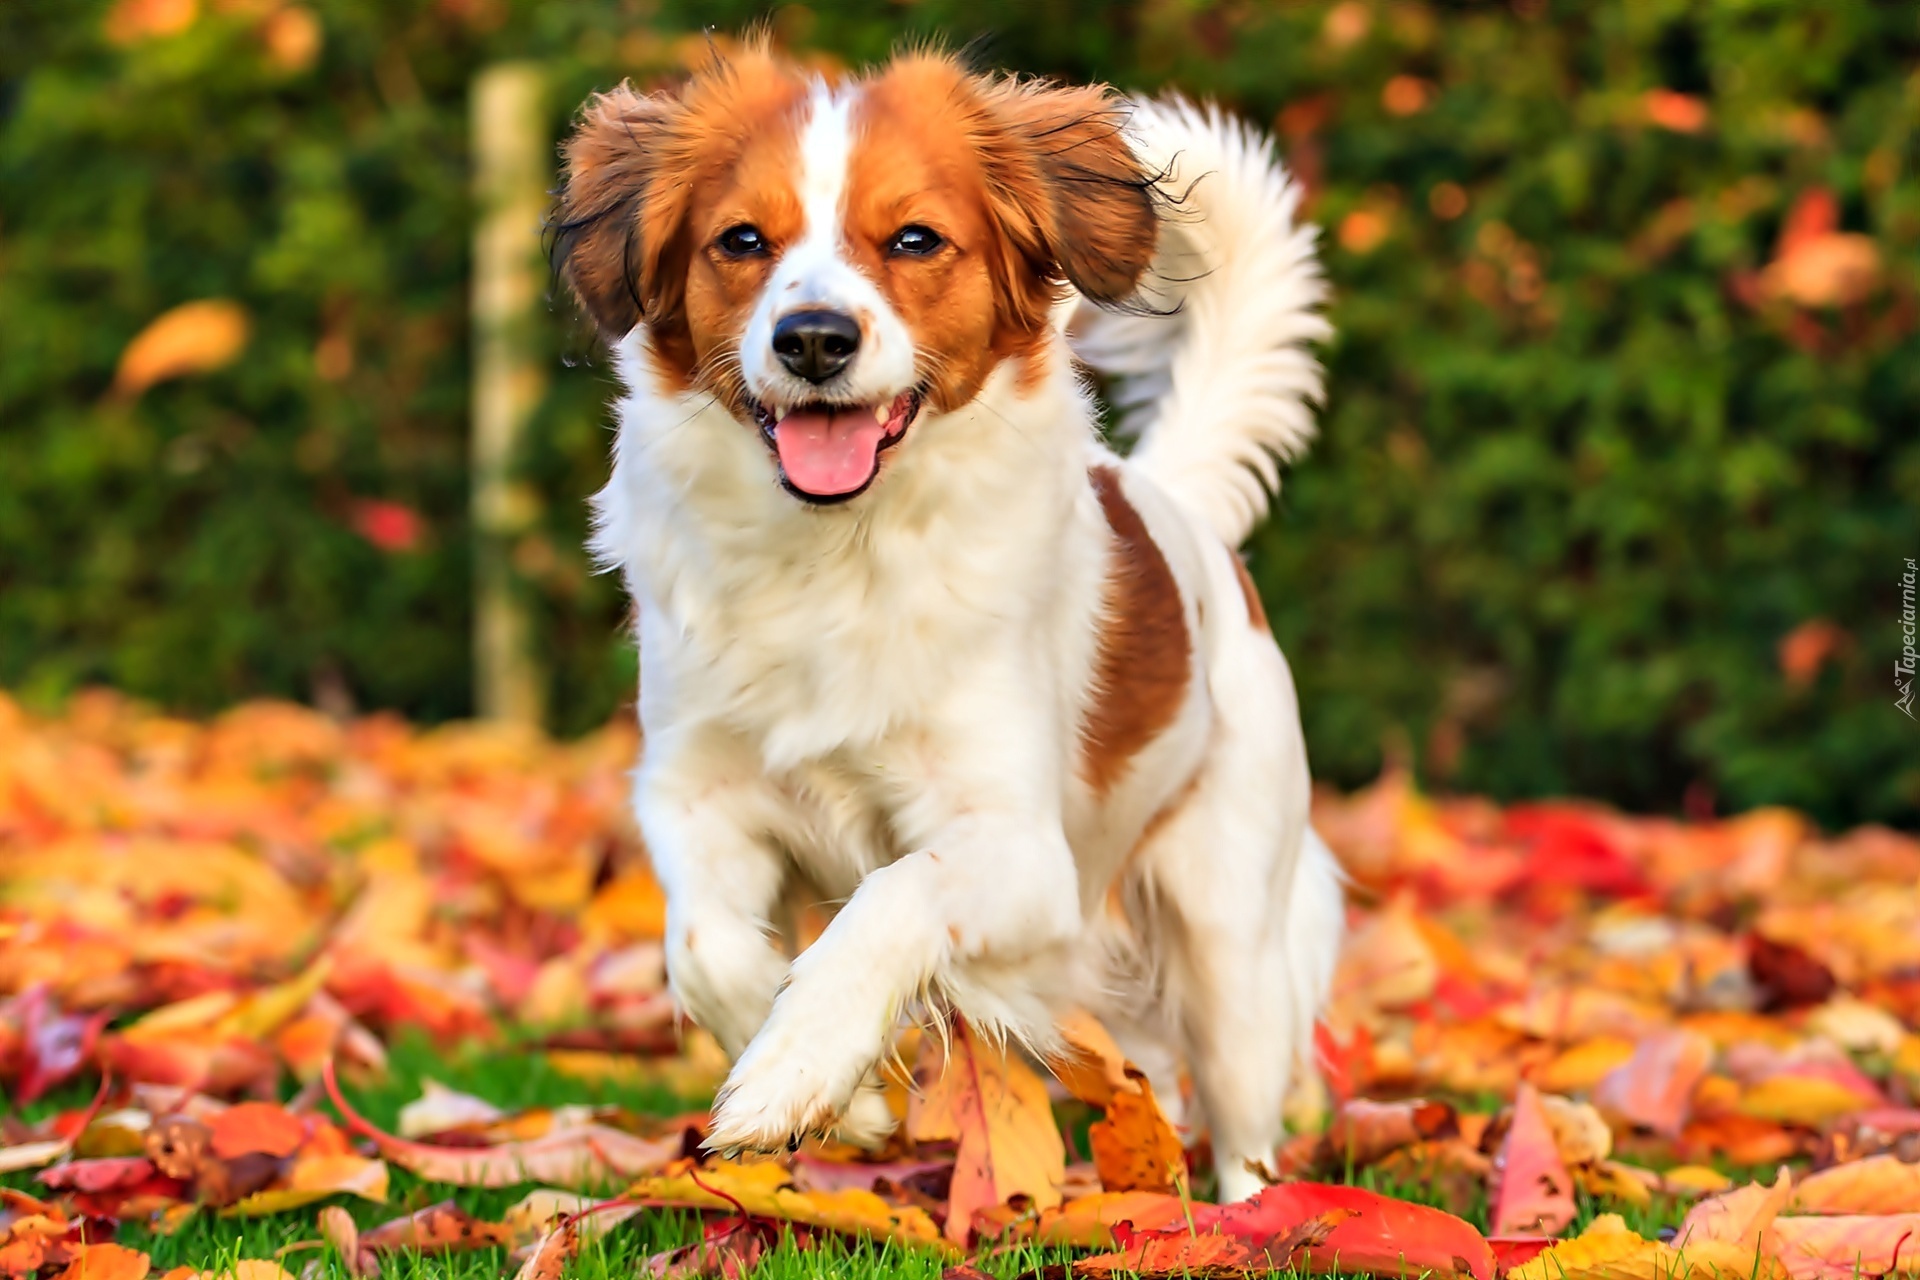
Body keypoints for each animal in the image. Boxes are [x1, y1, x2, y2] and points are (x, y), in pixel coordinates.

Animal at [549, 40, 1344, 1205]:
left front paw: (798, 1064)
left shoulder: (1022, 854)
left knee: (1245, 1123)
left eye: (915, 240)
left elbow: (895, 892)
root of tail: (1181, 505)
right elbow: (704, 945)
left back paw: (1256, 1215)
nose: (814, 339)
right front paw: (843, 1098)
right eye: (741, 240)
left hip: (1226, 934)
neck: (837, 553)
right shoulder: (696, 792)